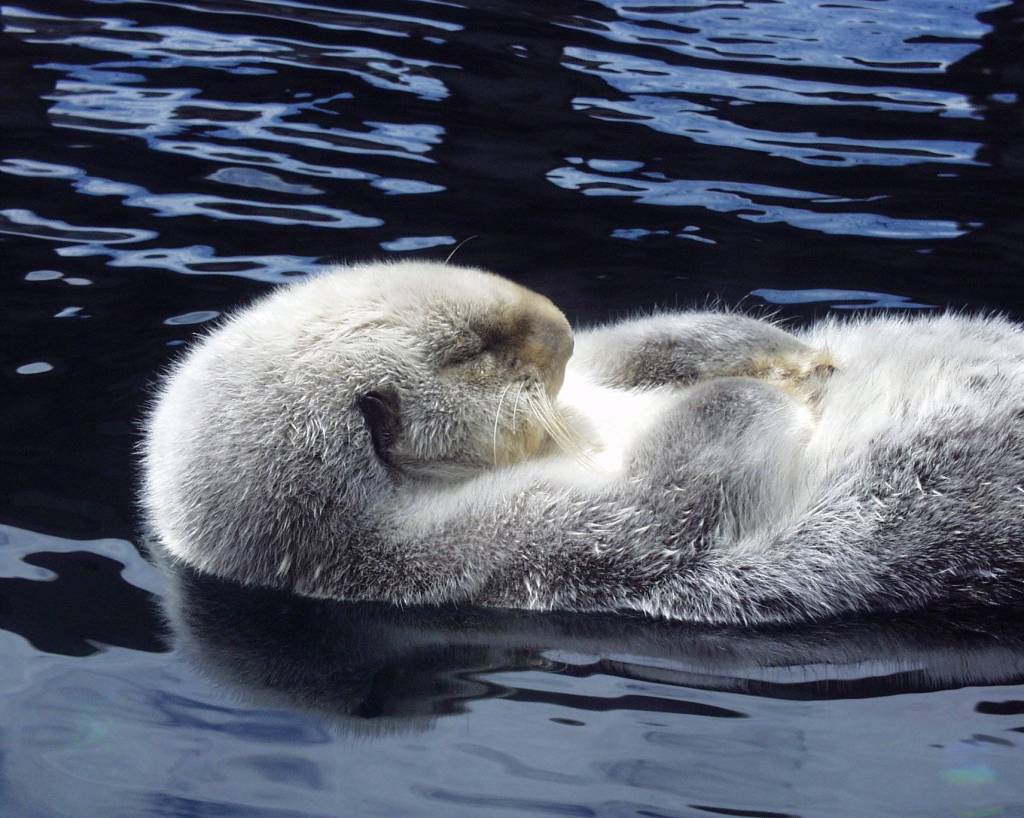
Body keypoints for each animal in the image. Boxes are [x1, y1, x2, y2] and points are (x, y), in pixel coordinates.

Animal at [142, 260, 1024, 625]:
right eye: (472, 350)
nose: (560, 324)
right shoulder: (501, 548)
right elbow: (667, 507)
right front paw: (757, 394)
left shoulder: (598, 375)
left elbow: (638, 342)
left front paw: (790, 356)